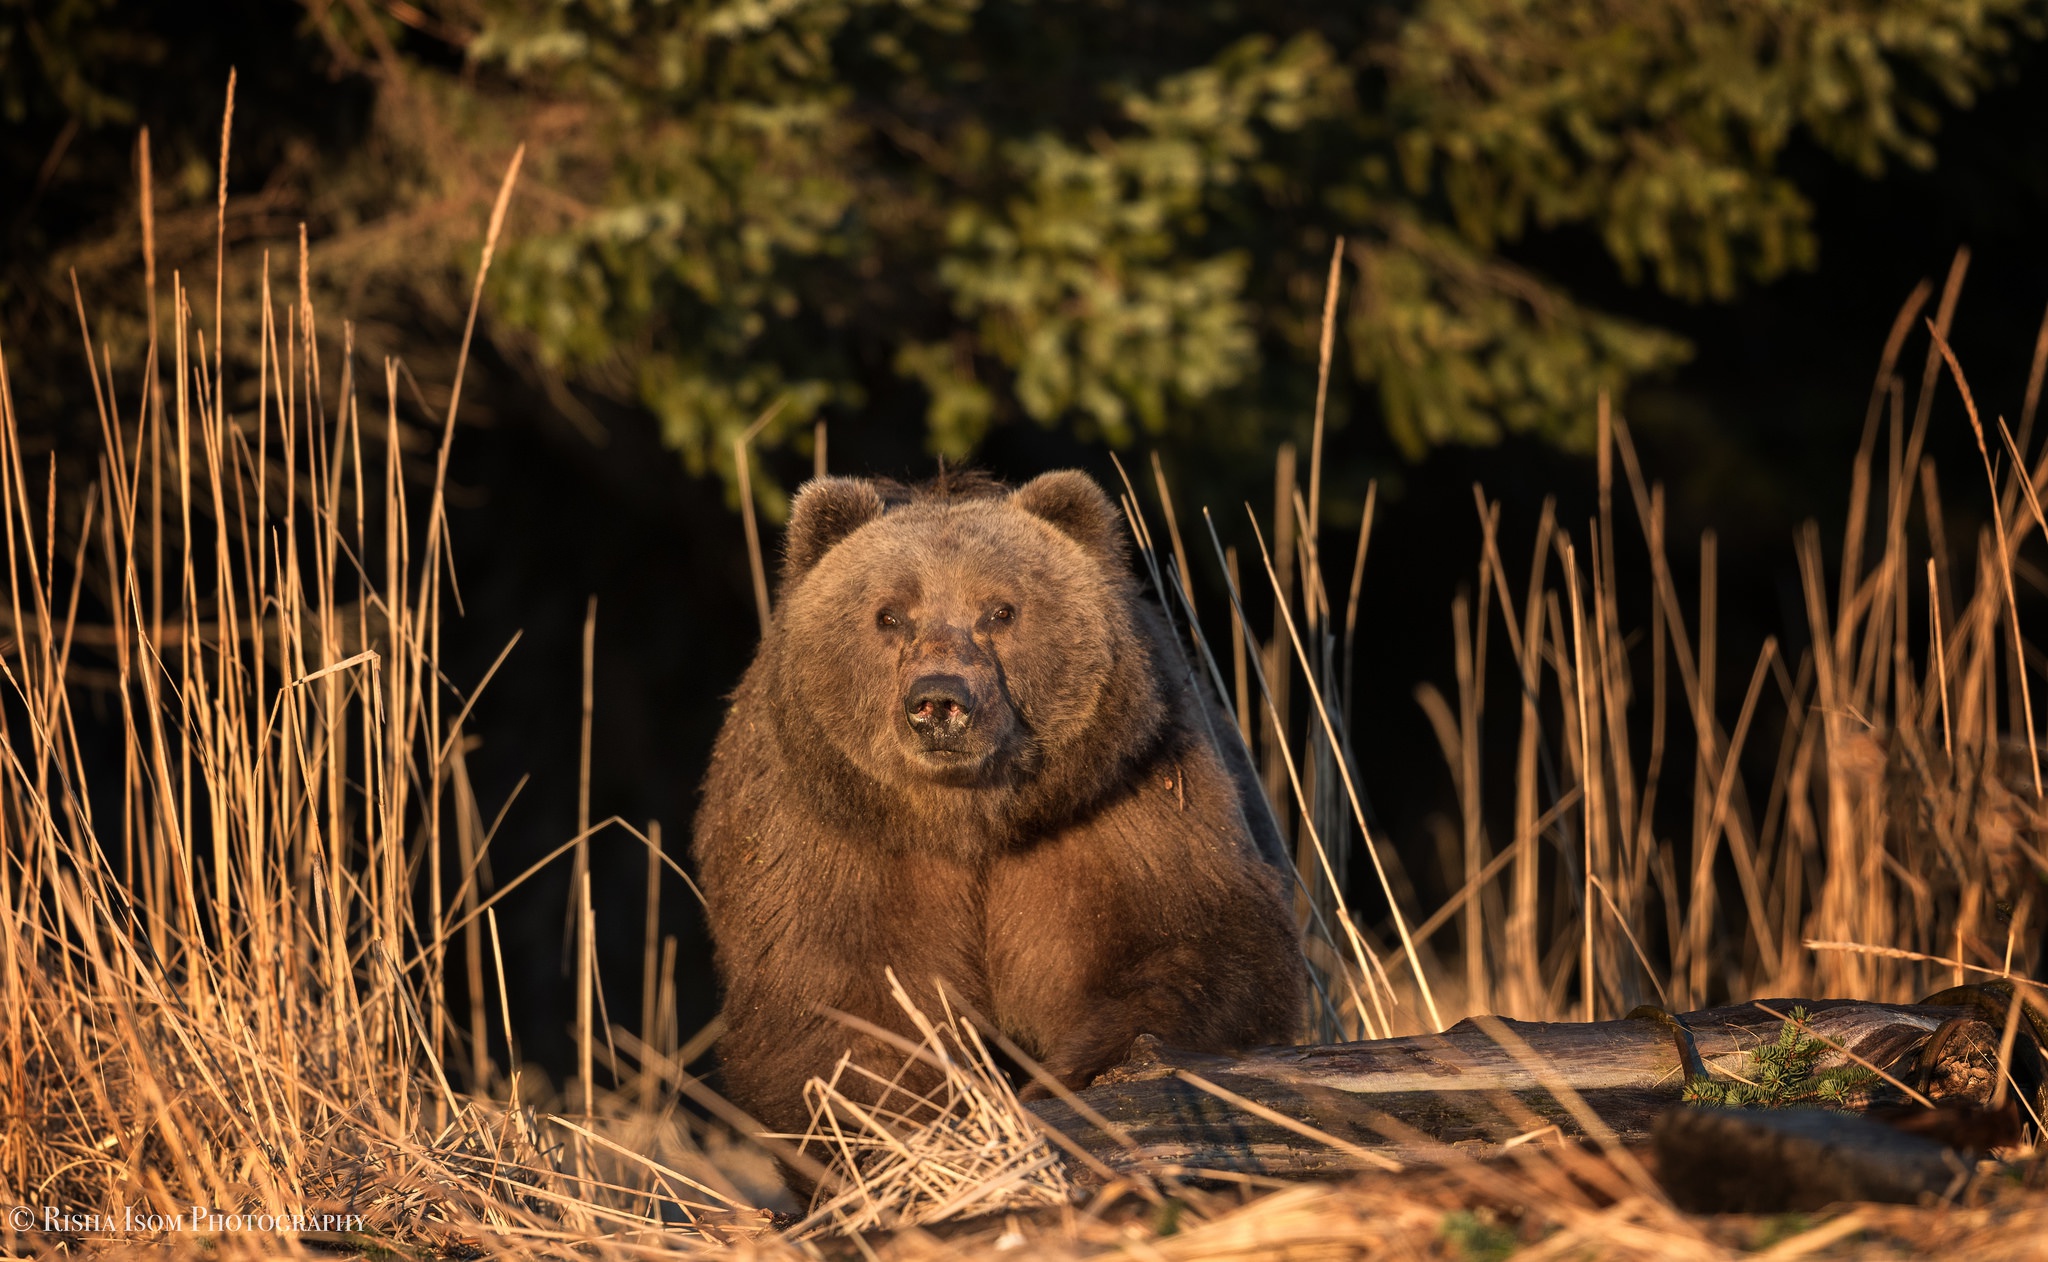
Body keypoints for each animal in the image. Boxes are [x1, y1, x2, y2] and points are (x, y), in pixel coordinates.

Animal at [696, 471, 1302, 1147]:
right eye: (889, 614)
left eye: (1000, 610)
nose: (938, 701)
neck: (970, 823)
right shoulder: (829, 836)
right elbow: (835, 1007)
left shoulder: (1128, 809)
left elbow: (1195, 947)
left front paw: (1067, 1080)